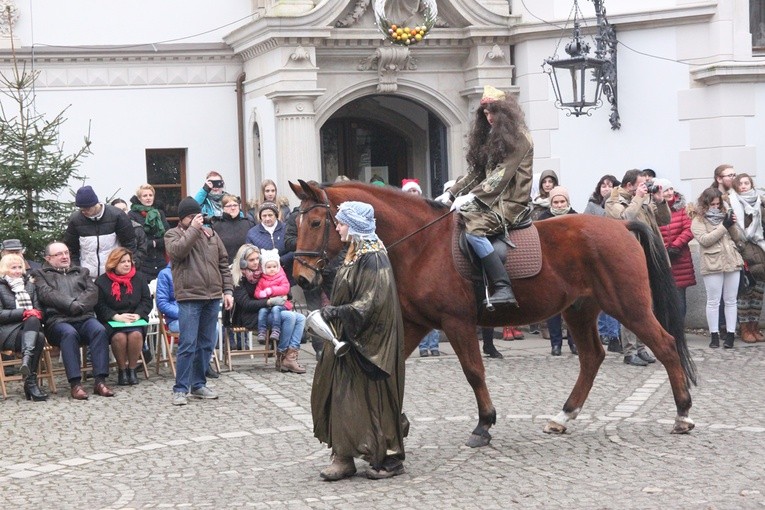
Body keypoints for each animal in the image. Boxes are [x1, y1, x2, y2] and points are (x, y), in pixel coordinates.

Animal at [290, 179, 696, 446]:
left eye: (315, 222)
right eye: (296, 222)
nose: (301, 277)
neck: (421, 244)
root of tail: (621, 226)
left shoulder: (456, 322)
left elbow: (473, 372)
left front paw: (484, 424)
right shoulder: (419, 323)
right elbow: (391, 365)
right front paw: (399, 421)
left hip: (628, 305)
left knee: (665, 345)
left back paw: (682, 414)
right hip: (580, 310)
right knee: (592, 357)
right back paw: (563, 416)